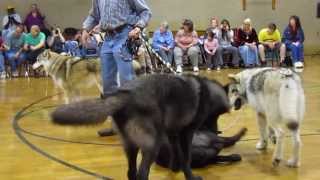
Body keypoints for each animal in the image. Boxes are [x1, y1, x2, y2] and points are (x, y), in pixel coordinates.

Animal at [51, 73, 244, 180]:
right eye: (215, 115)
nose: (214, 130)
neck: (207, 90)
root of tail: (124, 96)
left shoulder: (173, 135)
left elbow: (179, 156)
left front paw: (175, 169)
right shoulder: (186, 134)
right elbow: (186, 158)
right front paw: (190, 176)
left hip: (131, 146)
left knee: (131, 173)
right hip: (152, 146)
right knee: (142, 174)